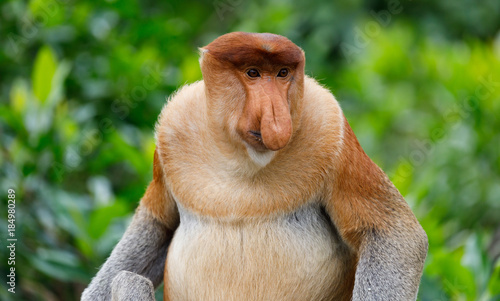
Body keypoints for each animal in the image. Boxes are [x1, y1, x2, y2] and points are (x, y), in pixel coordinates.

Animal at [82, 31, 426, 298]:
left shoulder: (332, 130)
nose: (276, 118)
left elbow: (393, 233)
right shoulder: (172, 129)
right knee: (128, 278)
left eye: (283, 73)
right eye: (253, 73)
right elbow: (156, 223)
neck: (243, 156)